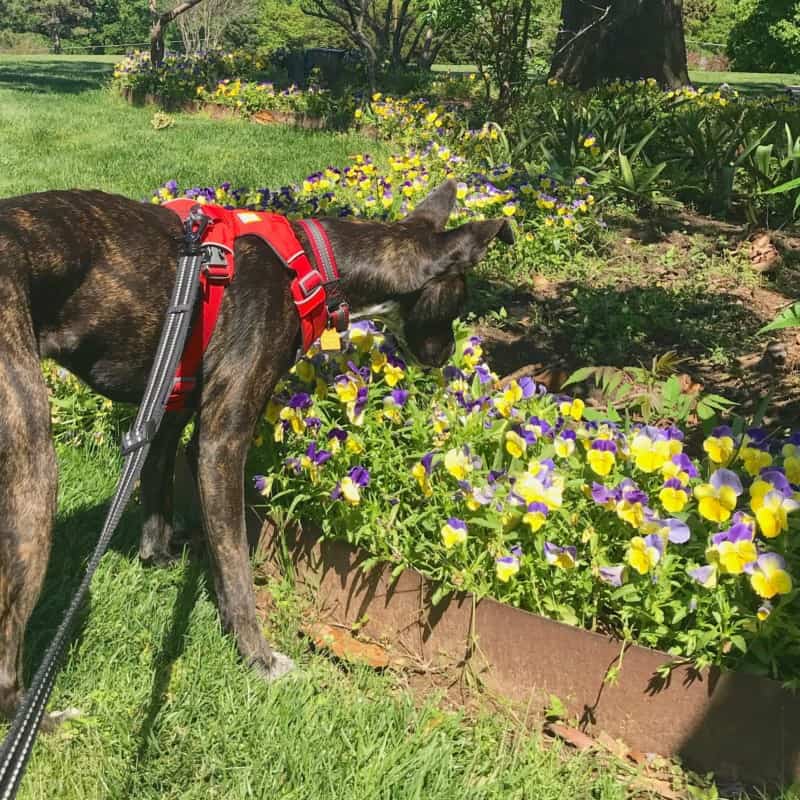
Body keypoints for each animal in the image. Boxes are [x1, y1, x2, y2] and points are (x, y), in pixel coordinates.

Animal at [0, 181, 512, 724]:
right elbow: (236, 567)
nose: (448, 357)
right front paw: (259, 658)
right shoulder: (221, 442)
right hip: (32, 471)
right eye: (458, 301)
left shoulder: (171, 404)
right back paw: (41, 719)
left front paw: (158, 559)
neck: (319, 263)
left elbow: (156, 489)